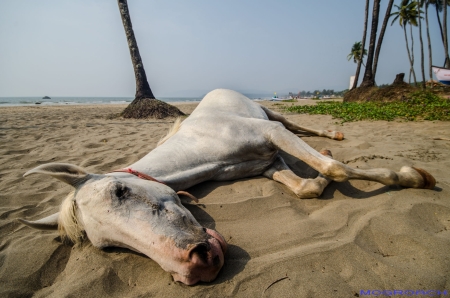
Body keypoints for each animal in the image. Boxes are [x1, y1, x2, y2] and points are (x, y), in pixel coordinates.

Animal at [18, 89, 436, 286]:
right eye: (106, 247)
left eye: (120, 191)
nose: (195, 265)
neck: (205, 146)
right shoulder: (269, 165)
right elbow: (308, 187)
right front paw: (318, 178)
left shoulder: (272, 132)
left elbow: (333, 167)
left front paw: (413, 177)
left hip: (273, 114)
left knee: (301, 124)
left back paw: (333, 134)